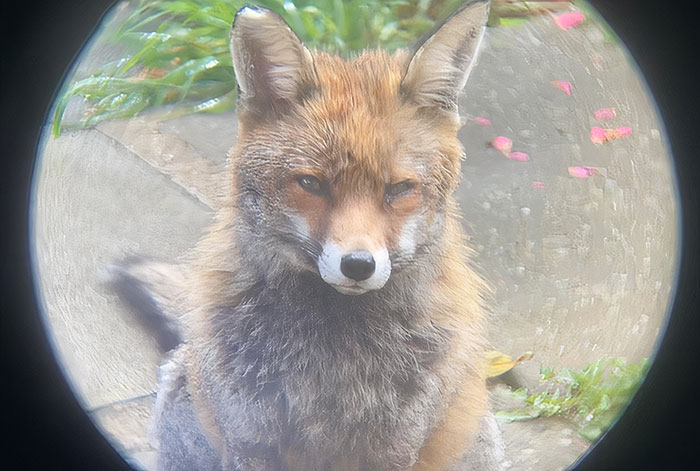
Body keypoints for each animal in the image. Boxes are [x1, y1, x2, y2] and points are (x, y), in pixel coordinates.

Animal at [112, 1, 505, 469]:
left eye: (398, 189)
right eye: (312, 184)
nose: (358, 265)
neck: (332, 363)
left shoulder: (395, 446)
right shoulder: (249, 439)